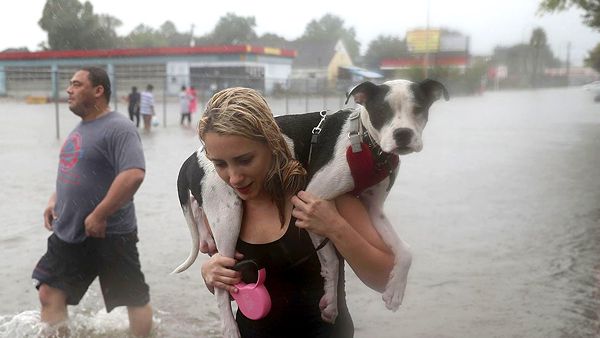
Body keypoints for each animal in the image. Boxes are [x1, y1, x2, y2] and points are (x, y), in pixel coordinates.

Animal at [172, 79, 446, 338]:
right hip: (228, 215)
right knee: (221, 285)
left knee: (199, 210)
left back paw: (206, 236)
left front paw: (395, 291)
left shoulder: (374, 209)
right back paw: (230, 327)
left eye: (419, 109)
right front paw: (331, 303)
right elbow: (331, 260)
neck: (365, 143)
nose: (403, 134)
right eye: (381, 111)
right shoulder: (311, 199)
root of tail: (194, 157)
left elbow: (406, 250)